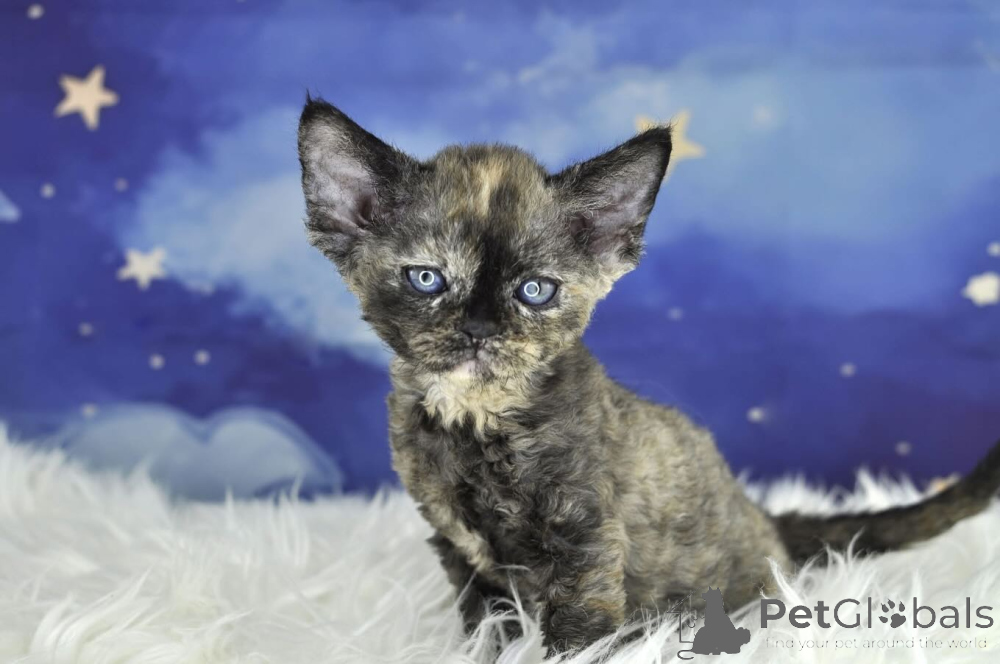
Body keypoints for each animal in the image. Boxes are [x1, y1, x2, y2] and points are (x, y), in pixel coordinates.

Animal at [296, 97, 1000, 653]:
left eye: (535, 290)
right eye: (427, 279)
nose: (479, 329)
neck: (478, 420)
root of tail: (763, 516)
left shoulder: (586, 543)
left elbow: (577, 636)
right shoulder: (462, 550)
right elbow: (485, 632)